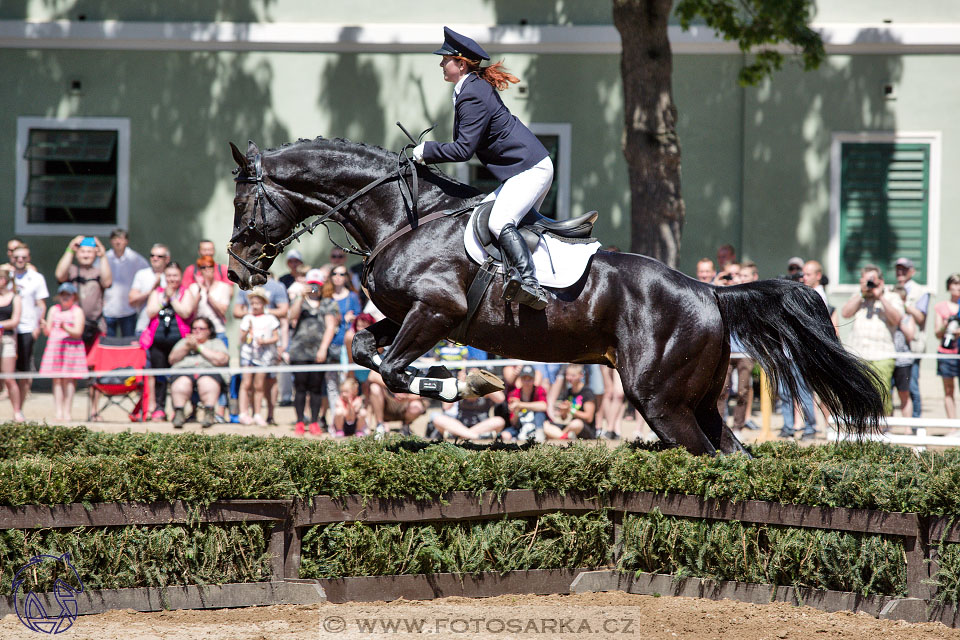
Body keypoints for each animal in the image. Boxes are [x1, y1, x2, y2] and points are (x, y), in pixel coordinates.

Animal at [225, 136, 884, 456]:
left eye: (241, 201)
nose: (235, 271)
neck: (402, 217)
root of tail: (707, 292)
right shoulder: (414, 318)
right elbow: (367, 352)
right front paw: (468, 382)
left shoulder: (436, 312)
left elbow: (390, 369)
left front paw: (469, 384)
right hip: (696, 400)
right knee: (732, 455)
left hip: (659, 402)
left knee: (706, 456)